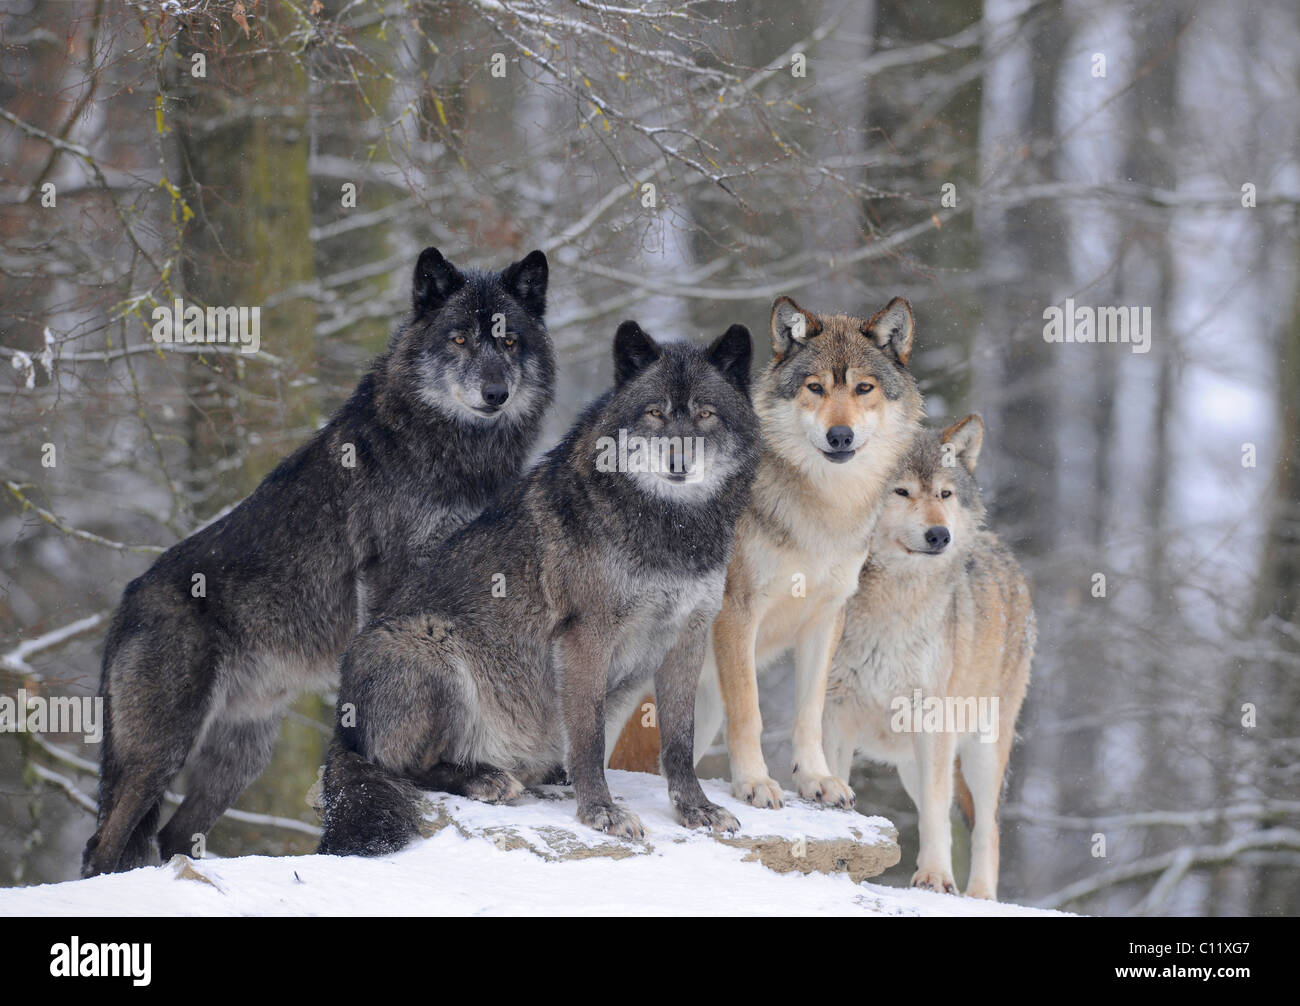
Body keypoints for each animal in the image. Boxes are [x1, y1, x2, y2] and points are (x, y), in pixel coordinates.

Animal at [82, 247, 555, 877]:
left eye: (509, 341)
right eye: (458, 338)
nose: (495, 392)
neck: (455, 451)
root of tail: (126, 601)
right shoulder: (388, 576)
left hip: (242, 756)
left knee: (174, 834)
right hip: (161, 749)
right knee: (105, 843)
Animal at [317, 320, 761, 856]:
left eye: (705, 414)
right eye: (655, 412)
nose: (678, 462)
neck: (672, 531)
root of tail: (342, 731)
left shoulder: (688, 639)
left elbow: (679, 740)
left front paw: (696, 809)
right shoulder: (584, 637)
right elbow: (589, 739)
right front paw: (601, 811)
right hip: (428, 643)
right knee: (403, 768)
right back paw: (486, 778)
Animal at [692, 295, 925, 810]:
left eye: (863, 388)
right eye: (815, 387)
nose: (840, 436)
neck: (823, 511)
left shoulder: (826, 617)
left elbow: (810, 712)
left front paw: (816, 779)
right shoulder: (736, 613)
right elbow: (750, 711)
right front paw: (754, 782)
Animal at [823, 416, 1035, 899]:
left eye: (944, 494)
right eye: (900, 492)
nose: (940, 535)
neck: (894, 606)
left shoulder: (932, 720)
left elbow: (939, 812)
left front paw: (935, 877)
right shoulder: (834, 710)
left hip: (979, 750)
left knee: (987, 828)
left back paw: (978, 896)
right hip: (909, 764)